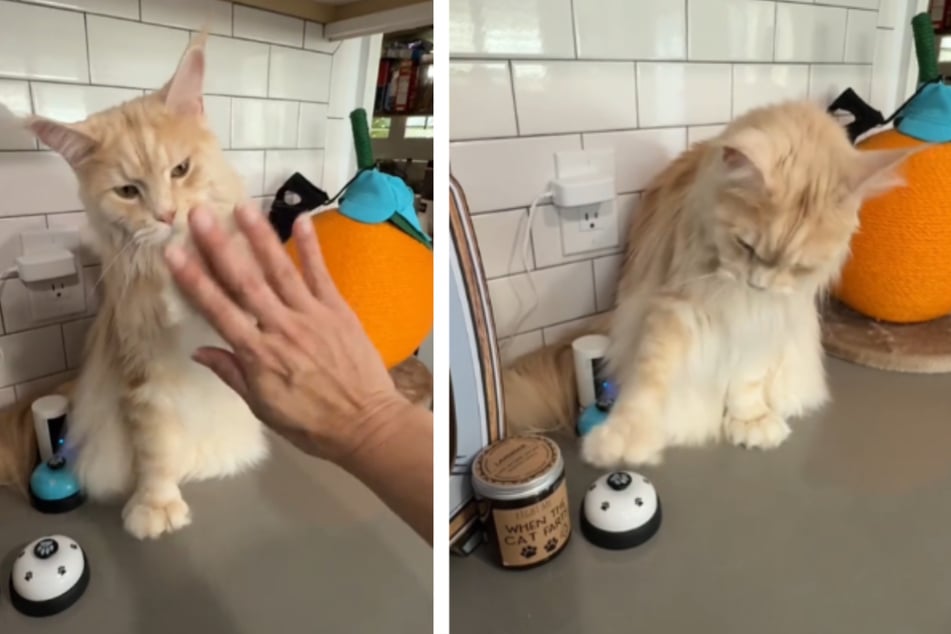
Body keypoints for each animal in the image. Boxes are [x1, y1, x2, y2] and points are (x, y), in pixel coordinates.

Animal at [1, 35, 268, 540]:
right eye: (128, 192)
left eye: (181, 170)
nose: (166, 215)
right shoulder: (141, 374)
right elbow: (155, 450)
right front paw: (156, 505)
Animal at [506, 101, 916, 466]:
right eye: (746, 246)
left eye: (799, 267)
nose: (759, 285)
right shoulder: (676, 303)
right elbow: (648, 378)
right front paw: (625, 436)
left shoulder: (767, 318)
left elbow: (748, 378)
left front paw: (750, 419)